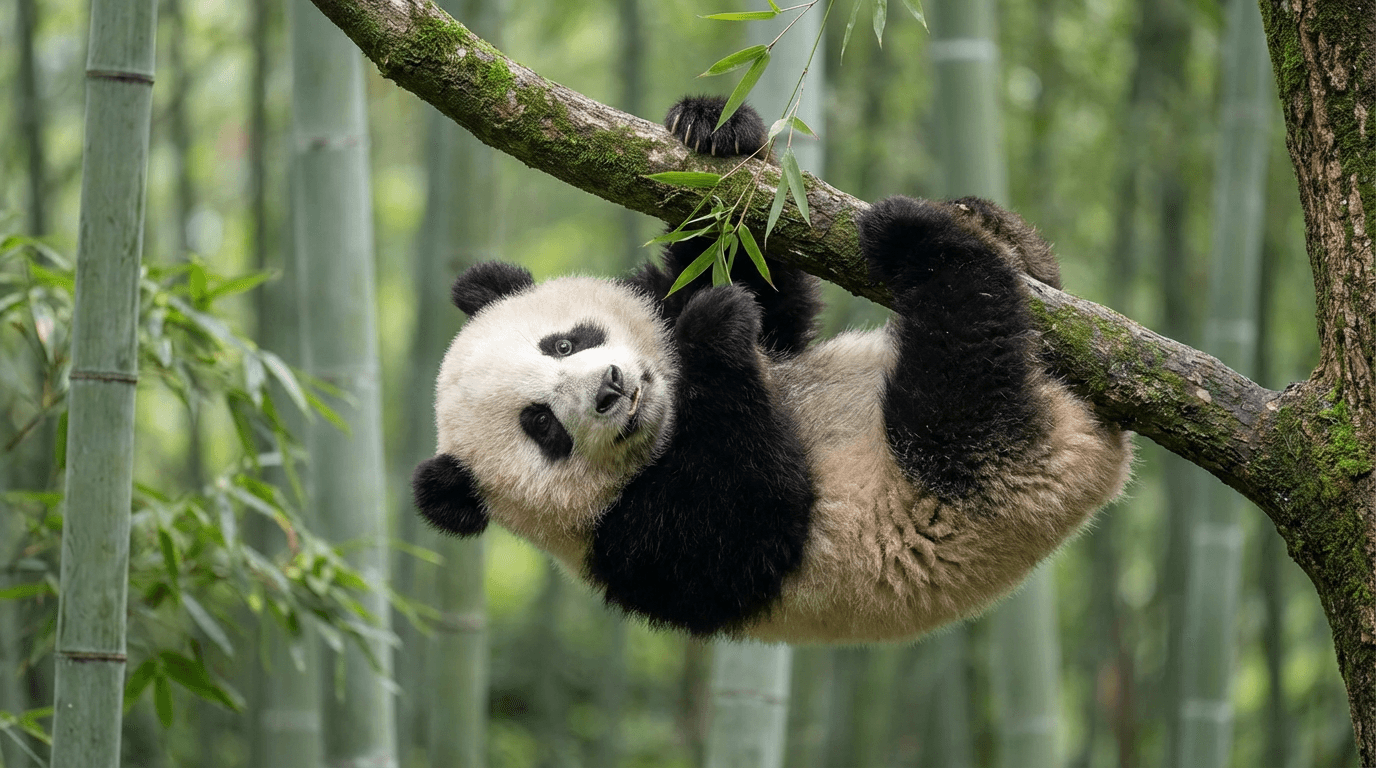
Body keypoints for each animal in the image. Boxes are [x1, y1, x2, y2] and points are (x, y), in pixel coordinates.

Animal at [412, 95, 1132, 643]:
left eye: (562, 344)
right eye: (542, 426)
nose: (613, 390)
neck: (676, 418)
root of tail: (1102, 457)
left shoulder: (709, 315)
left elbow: (759, 281)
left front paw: (713, 125)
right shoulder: (639, 549)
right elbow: (756, 506)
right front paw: (715, 331)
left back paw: (988, 227)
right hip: (993, 477)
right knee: (958, 383)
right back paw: (927, 245)